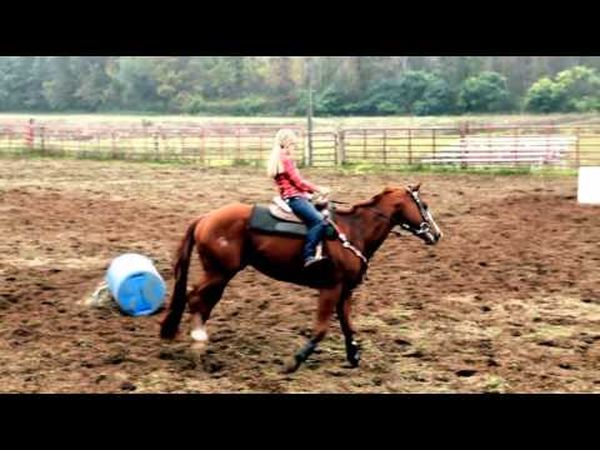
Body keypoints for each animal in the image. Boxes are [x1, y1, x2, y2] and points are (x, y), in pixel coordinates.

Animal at [159, 184, 440, 372]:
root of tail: (205, 218)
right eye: (424, 206)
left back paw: (199, 343)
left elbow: (348, 325)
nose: (437, 234)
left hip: (220, 274)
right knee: (195, 298)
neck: (354, 230)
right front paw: (294, 361)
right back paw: (198, 346)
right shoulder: (330, 288)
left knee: (203, 302)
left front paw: (354, 356)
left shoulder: (346, 290)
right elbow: (321, 329)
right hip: (218, 272)